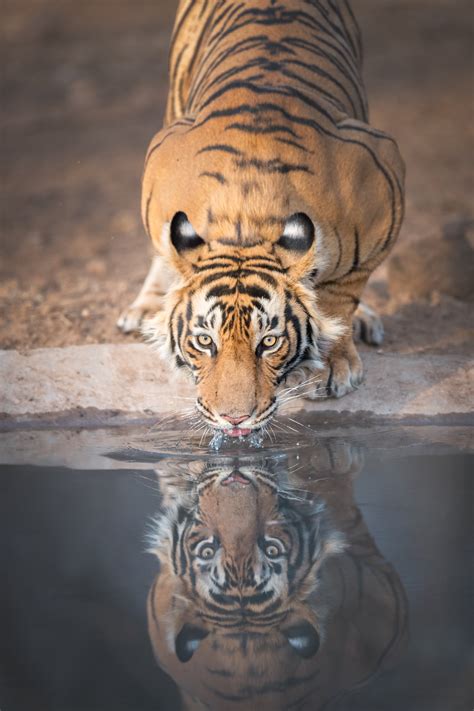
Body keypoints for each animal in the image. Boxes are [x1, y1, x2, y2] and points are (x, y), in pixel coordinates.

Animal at [118, 0, 404, 436]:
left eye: (269, 342)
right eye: (205, 342)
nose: (234, 418)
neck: (245, 221)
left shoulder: (383, 183)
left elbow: (341, 296)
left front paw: (330, 365)